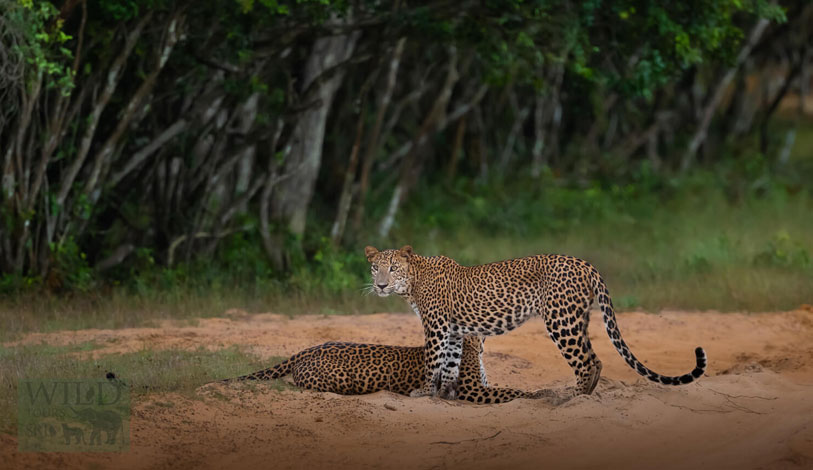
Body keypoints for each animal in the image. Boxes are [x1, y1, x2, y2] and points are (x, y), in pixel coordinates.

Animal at [364, 245, 707, 400]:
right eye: (375, 268)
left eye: (393, 268)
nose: (380, 285)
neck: (413, 281)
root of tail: (586, 264)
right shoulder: (453, 330)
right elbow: (450, 362)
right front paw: (446, 394)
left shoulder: (436, 326)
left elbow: (433, 360)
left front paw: (424, 391)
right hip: (577, 318)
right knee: (595, 358)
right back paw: (586, 395)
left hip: (560, 320)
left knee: (586, 361)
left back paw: (573, 398)